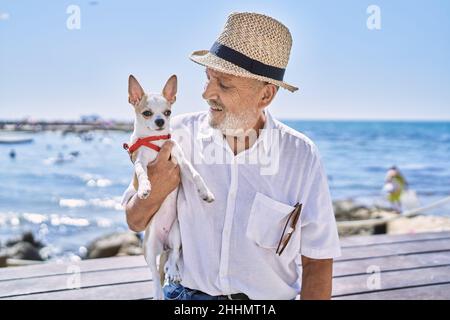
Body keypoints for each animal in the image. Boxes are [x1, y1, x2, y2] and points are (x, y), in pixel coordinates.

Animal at [122, 74, 215, 298]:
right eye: (147, 113)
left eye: (168, 112)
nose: (160, 121)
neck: (156, 141)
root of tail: (162, 244)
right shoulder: (140, 161)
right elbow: (142, 173)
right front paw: (144, 187)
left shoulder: (180, 161)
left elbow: (195, 174)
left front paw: (205, 192)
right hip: (149, 248)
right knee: (155, 274)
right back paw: (157, 292)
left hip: (177, 234)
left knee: (172, 255)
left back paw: (174, 270)